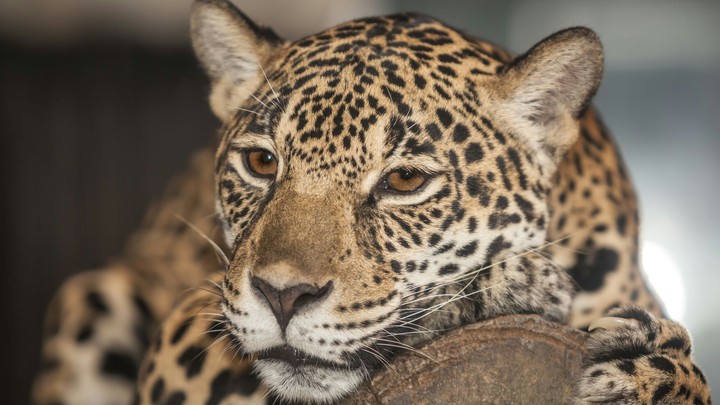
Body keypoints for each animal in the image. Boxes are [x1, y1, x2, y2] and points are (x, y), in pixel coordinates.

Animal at [32, 0, 712, 404]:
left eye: (404, 181)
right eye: (261, 163)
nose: (283, 297)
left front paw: (649, 369)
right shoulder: (190, 333)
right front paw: (511, 287)